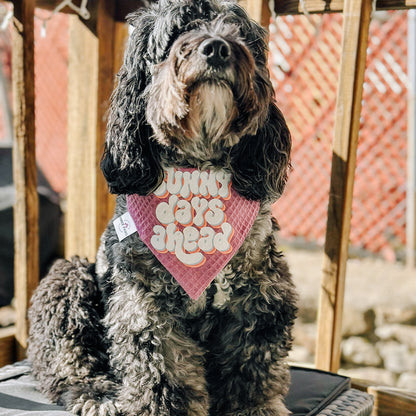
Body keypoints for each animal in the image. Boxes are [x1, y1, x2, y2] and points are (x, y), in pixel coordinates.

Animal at [27, 0, 298, 416]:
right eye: (176, 32)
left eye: (238, 32)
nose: (217, 48)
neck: (198, 174)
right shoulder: (145, 305)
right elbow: (164, 373)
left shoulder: (259, 294)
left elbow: (252, 365)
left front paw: (254, 407)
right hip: (68, 279)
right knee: (68, 362)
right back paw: (97, 393)